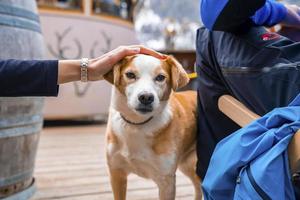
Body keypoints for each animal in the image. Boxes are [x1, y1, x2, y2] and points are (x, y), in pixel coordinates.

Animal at [103, 54, 202, 200]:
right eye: (130, 74)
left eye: (160, 77)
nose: (146, 97)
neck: (137, 124)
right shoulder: (116, 173)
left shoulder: (166, 181)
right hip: (186, 164)